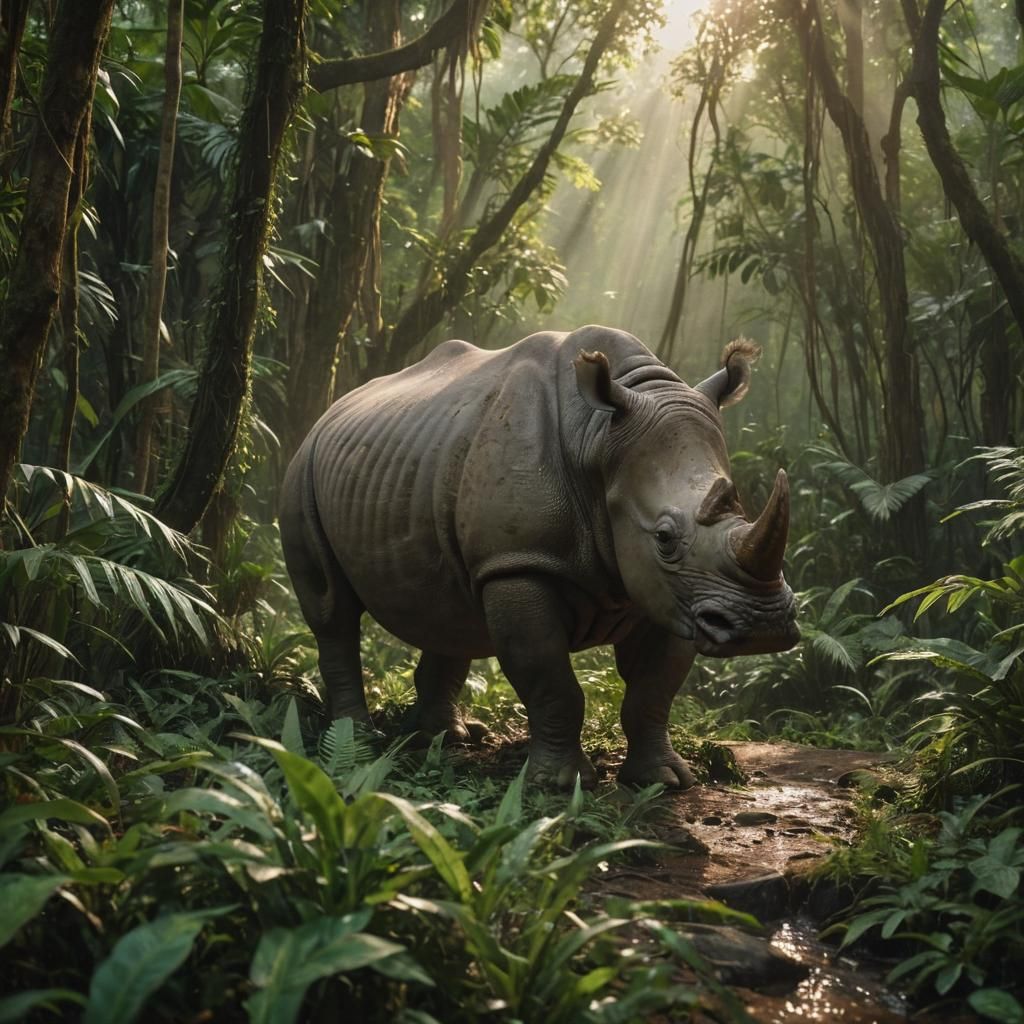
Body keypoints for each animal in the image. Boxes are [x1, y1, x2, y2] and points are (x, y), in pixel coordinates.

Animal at [280, 325, 799, 788]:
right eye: (665, 537)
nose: (763, 627)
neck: (599, 439)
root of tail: (330, 412)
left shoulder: (677, 593)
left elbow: (653, 689)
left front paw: (665, 780)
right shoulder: (520, 562)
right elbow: (550, 679)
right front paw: (559, 786)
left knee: (450, 608)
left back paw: (447, 737)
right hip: (302, 470)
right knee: (332, 612)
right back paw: (358, 741)